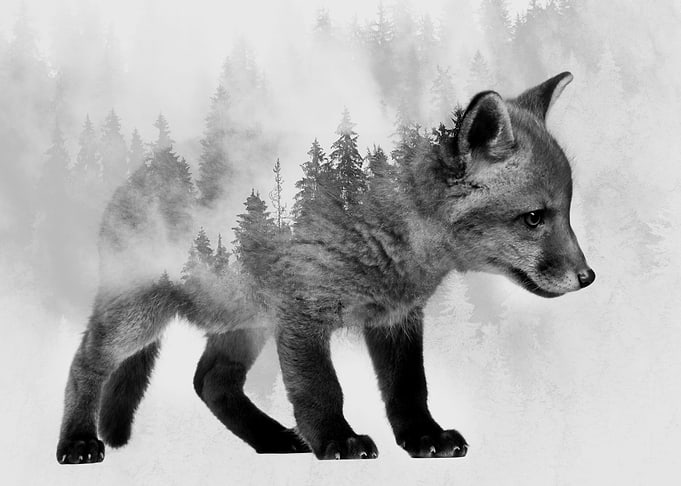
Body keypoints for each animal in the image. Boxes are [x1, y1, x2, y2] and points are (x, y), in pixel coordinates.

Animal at [56, 71, 594, 464]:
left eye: (566, 212)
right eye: (533, 218)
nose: (588, 278)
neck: (384, 230)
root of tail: (139, 173)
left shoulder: (396, 319)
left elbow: (409, 389)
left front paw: (424, 438)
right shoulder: (302, 317)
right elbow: (321, 390)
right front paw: (337, 441)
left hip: (246, 324)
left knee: (210, 381)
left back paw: (273, 440)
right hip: (138, 318)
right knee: (85, 362)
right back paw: (76, 442)